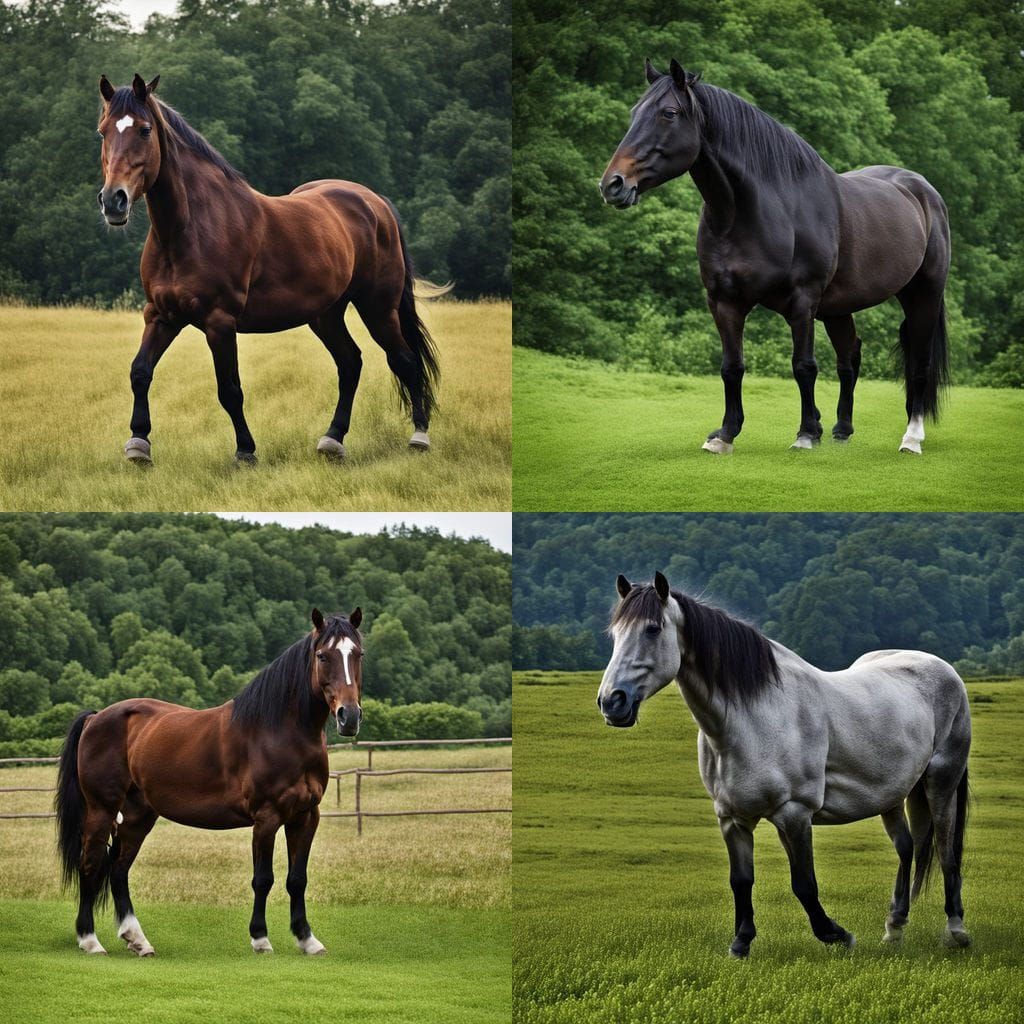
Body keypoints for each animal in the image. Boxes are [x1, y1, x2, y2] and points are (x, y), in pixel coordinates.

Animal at [54, 608, 362, 956]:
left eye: (358, 654)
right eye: (323, 656)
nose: (349, 716)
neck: (279, 732)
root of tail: (95, 718)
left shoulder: (306, 816)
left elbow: (297, 879)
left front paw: (307, 939)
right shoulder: (266, 818)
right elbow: (263, 879)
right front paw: (260, 938)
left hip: (136, 816)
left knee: (118, 870)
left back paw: (138, 940)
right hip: (101, 809)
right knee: (91, 864)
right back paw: (89, 940)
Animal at [96, 74, 442, 466]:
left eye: (144, 130)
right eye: (103, 131)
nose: (113, 201)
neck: (190, 228)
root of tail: (374, 202)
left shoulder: (219, 322)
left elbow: (230, 389)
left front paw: (245, 451)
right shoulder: (160, 315)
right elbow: (140, 372)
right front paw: (138, 443)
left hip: (378, 308)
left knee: (405, 360)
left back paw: (419, 437)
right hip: (325, 315)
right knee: (350, 363)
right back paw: (332, 439)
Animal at [596, 573, 972, 956]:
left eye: (653, 629)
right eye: (615, 634)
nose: (612, 702)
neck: (754, 719)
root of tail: (943, 669)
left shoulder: (794, 813)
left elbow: (804, 884)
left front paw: (836, 934)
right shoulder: (732, 818)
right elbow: (741, 880)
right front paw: (741, 941)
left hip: (941, 784)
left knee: (946, 850)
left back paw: (956, 929)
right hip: (891, 796)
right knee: (906, 847)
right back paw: (894, 927)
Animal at [600, 60, 951, 456]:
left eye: (668, 113)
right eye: (634, 113)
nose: (612, 184)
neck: (755, 211)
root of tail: (922, 190)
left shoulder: (802, 301)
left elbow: (803, 366)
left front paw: (806, 433)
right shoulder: (724, 302)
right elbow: (732, 367)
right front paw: (725, 434)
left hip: (922, 295)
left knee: (918, 363)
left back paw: (912, 437)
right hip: (838, 308)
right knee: (849, 358)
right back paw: (842, 430)